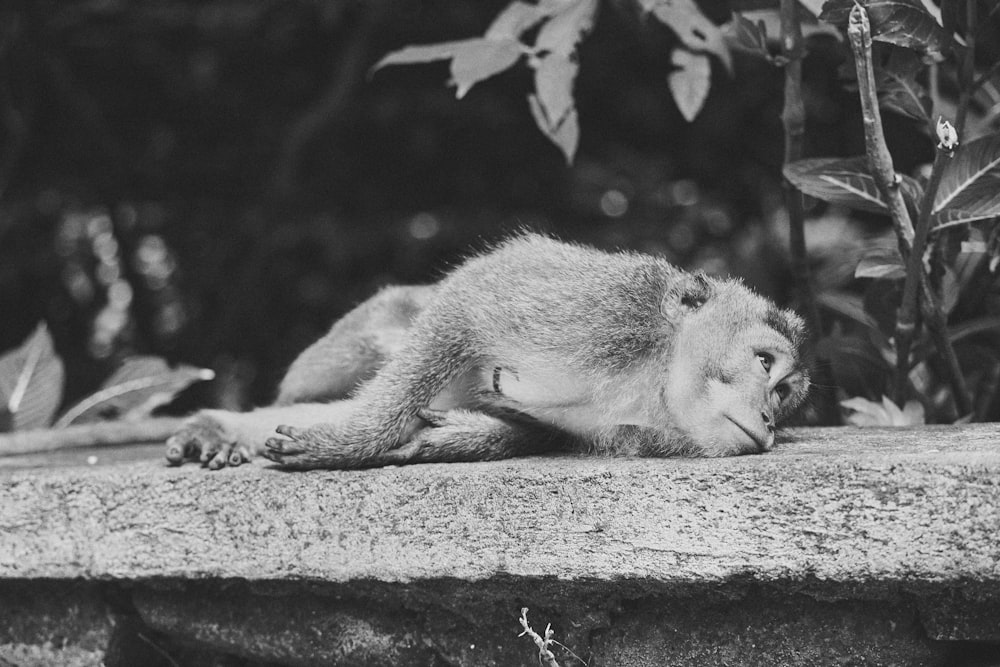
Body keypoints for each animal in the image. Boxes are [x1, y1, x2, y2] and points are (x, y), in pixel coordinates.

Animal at [166, 234, 812, 470]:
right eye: (763, 363)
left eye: (784, 395)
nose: (767, 418)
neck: (653, 377)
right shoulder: (603, 315)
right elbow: (468, 304)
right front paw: (353, 444)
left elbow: (534, 431)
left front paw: (448, 439)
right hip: (358, 334)